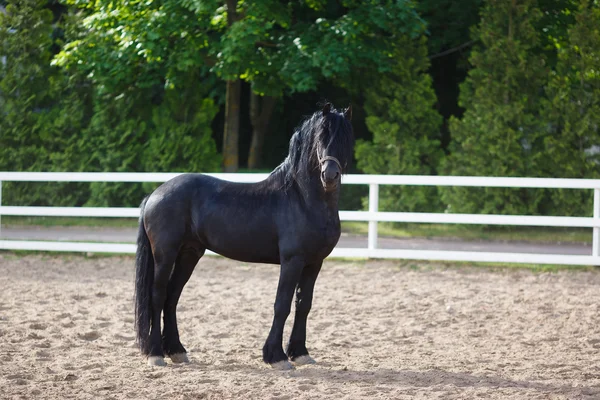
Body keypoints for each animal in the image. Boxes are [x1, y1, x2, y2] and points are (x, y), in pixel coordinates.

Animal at [134, 103, 354, 368]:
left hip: (189, 253)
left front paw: (300, 353)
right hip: (165, 255)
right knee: (157, 296)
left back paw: (176, 350)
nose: (329, 175)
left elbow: (304, 305)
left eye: (346, 138)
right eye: (321, 137)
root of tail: (154, 194)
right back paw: (156, 354)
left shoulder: (314, 263)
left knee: (172, 296)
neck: (302, 199)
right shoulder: (292, 261)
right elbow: (282, 305)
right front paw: (276, 356)